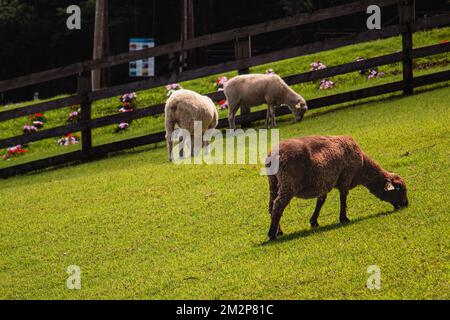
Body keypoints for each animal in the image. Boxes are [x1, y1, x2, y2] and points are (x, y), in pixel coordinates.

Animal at [266, 135, 410, 240]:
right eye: (399, 189)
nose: (406, 204)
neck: (363, 168)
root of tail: (272, 154)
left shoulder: (323, 183)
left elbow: (321, 201)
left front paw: (314, 221)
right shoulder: (346, 176)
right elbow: (343, 198)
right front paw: (344, 218)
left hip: (274, 182)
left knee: (271, 205)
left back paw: (278, 231)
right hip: (289, 182)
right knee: (278, 205)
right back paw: (272, 234)